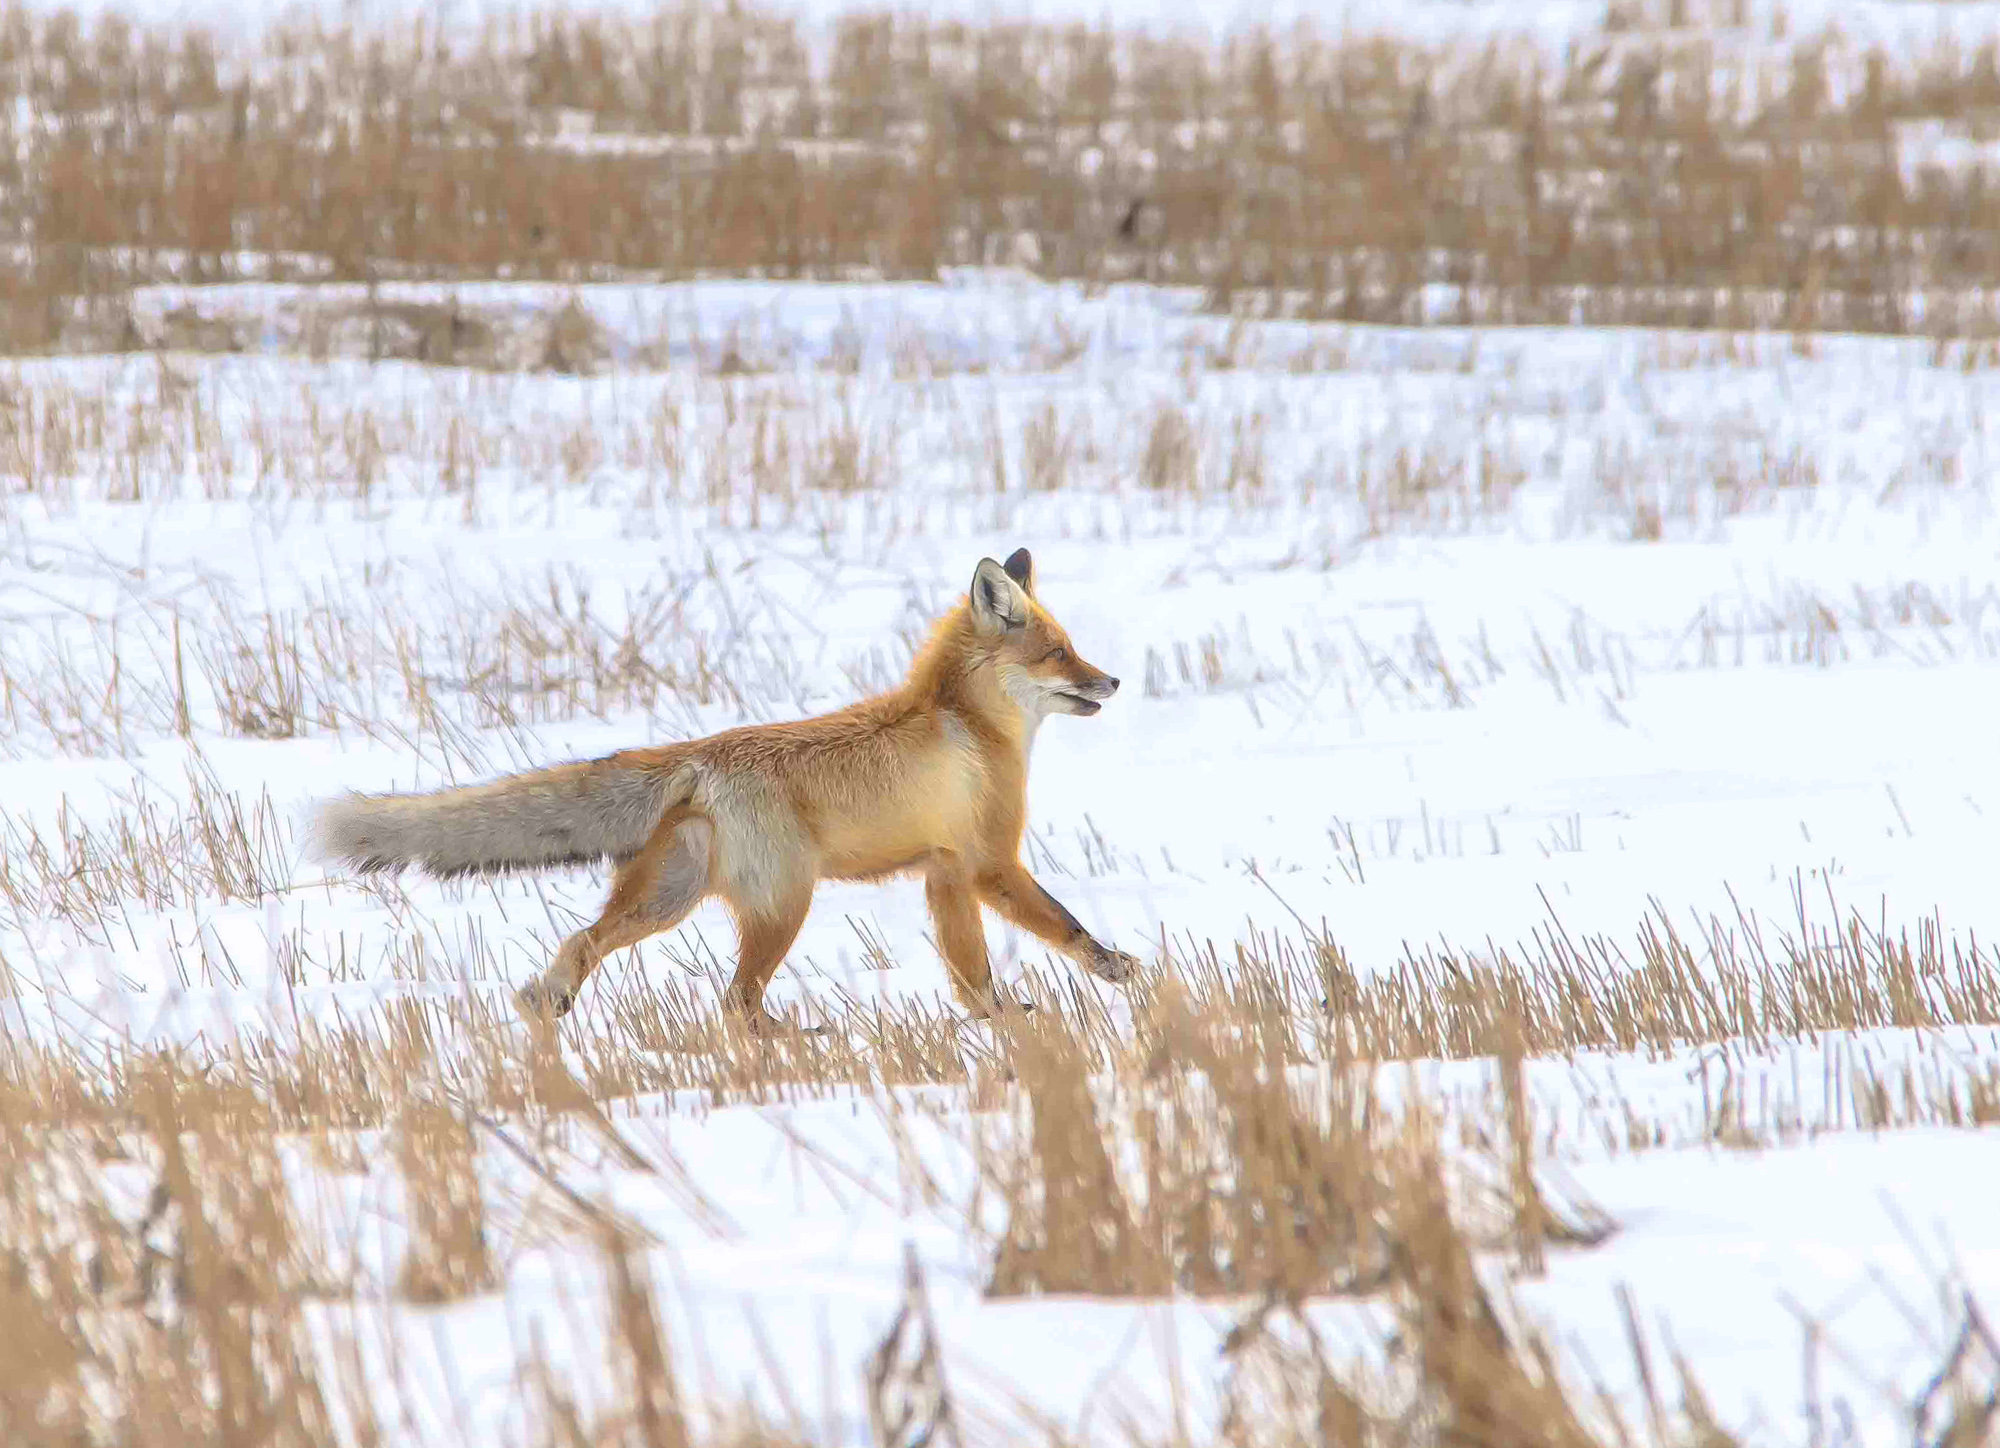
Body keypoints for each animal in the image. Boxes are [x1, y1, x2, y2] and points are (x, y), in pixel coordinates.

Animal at [304, 544, 1136, 1032]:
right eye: (1059, 653)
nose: (1114, 682)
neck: (970, 724)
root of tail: (701, 752)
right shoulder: (989, 862)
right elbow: (1065, 930)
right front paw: (1116, 977)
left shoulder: (944, 872)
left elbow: (973, 979)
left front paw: (1002, 1024)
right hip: (783, 906)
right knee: (734, 1004)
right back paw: (797, 1038)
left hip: (670, 895)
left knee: (588, 940)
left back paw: (548, 1004)